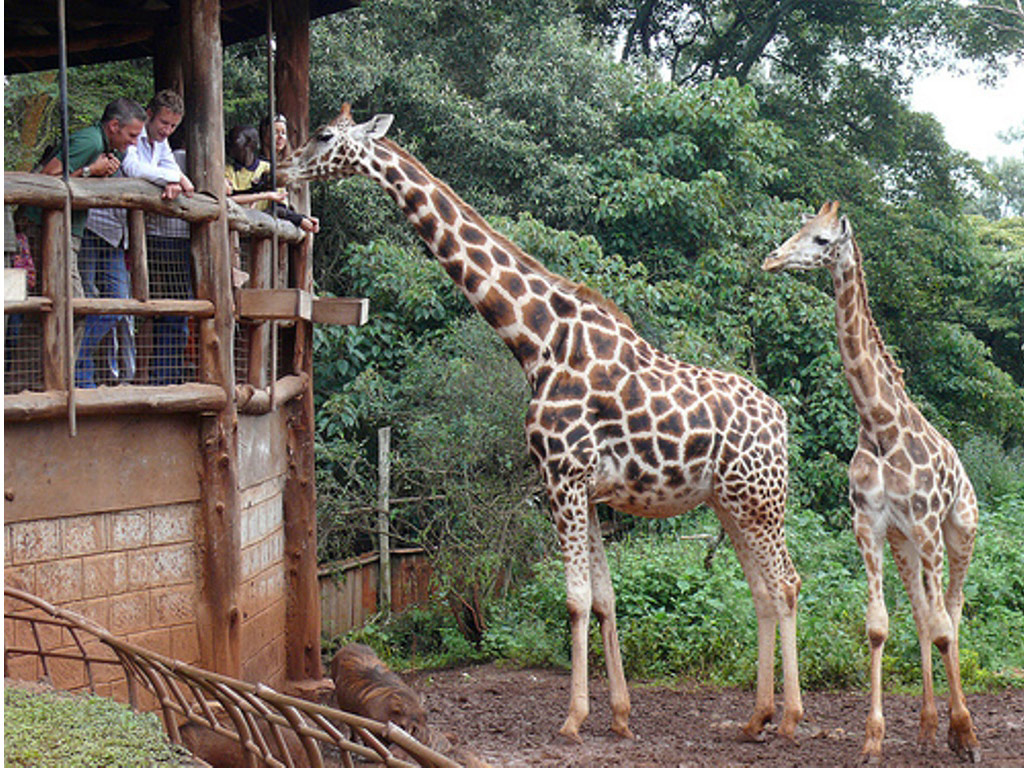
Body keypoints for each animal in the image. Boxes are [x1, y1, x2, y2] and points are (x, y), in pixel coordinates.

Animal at [280, 104, 804, 744]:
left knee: (786, 584)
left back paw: (791, 718)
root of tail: (781, 419)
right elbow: (604, 598)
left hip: (760, 501)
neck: (537, 340)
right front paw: (621, 716)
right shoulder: (589, 489)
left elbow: (575, 598)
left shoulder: (563, 477)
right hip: (731, 503)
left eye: (324, 134)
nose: (284, 166)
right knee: (762, 590)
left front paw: (574, 718)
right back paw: (756, 718)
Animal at [763, 201, 981, 763]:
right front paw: (873, 739)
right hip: (906, 545)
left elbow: (945, 630)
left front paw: (966, 735)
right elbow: (880, 628)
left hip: (957, 533)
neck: (879, 426)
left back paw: (956, 729)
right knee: (925, 614)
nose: (773, 260)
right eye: (796, 229)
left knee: (951, 612)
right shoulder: (871, 526)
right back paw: (927, 728)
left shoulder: (926, 526)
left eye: (820, 240)